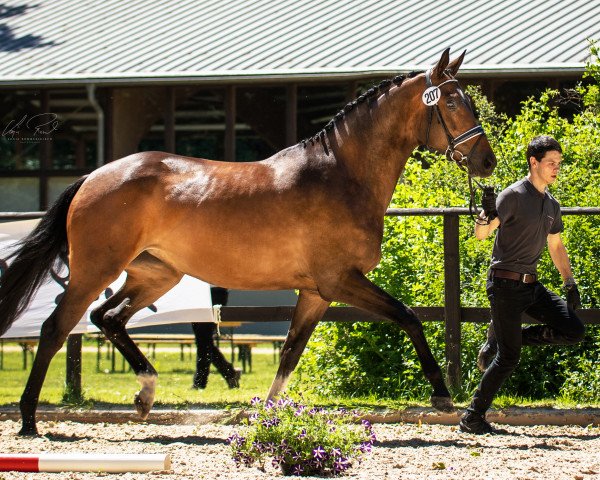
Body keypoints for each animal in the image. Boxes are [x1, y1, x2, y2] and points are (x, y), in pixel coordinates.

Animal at [0, 48, 496, 436]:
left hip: (156, 274)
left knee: (108, 318)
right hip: (95, 270)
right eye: (453, 102)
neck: (340, 175)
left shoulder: (316, 292)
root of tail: (93, 176)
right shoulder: (339, 280)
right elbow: (408, 317)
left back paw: (145, 394)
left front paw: (267, 415)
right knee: (56, 329)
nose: (488, 162)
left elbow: (290, 353)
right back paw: (29, 420)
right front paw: (442, 395)